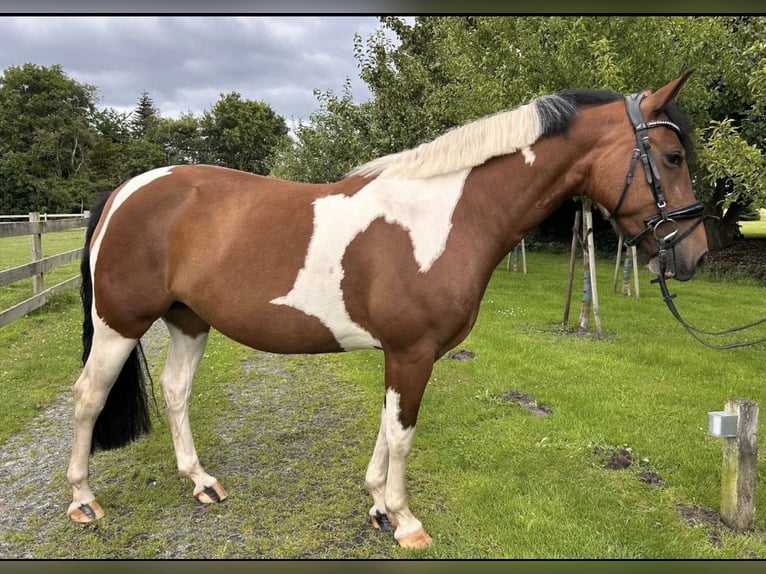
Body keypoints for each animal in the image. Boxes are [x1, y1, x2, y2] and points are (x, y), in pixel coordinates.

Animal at [65, 72, 708, 549]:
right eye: (673, 156)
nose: (695, 254)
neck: (447, 216)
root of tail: (124, 191)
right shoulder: (412, 351)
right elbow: (402, 433)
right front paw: (404, 520)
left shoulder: (402, 354)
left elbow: (387, 425)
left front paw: (377, 505)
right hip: (119, 325)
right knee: (89, 397)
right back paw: (83, 501)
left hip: (188, 320)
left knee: (175, 391)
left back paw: (201, 483)